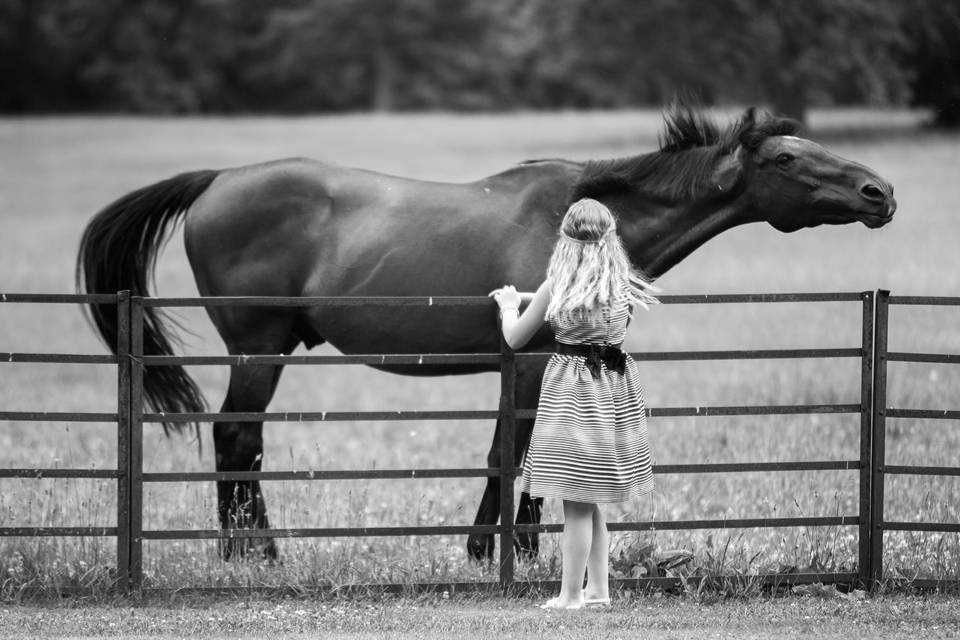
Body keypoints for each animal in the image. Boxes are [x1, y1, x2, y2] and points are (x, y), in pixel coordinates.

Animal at [79, 104, 896, 560]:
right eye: (786, 157)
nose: (878, 192)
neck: (581, 220)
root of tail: (217, 180)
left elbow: (511, 451)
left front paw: (493, 546)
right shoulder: (534, 361)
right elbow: (520, 452)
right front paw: (510, 551)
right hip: (260, 348)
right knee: (236, 437)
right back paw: (253, 553)